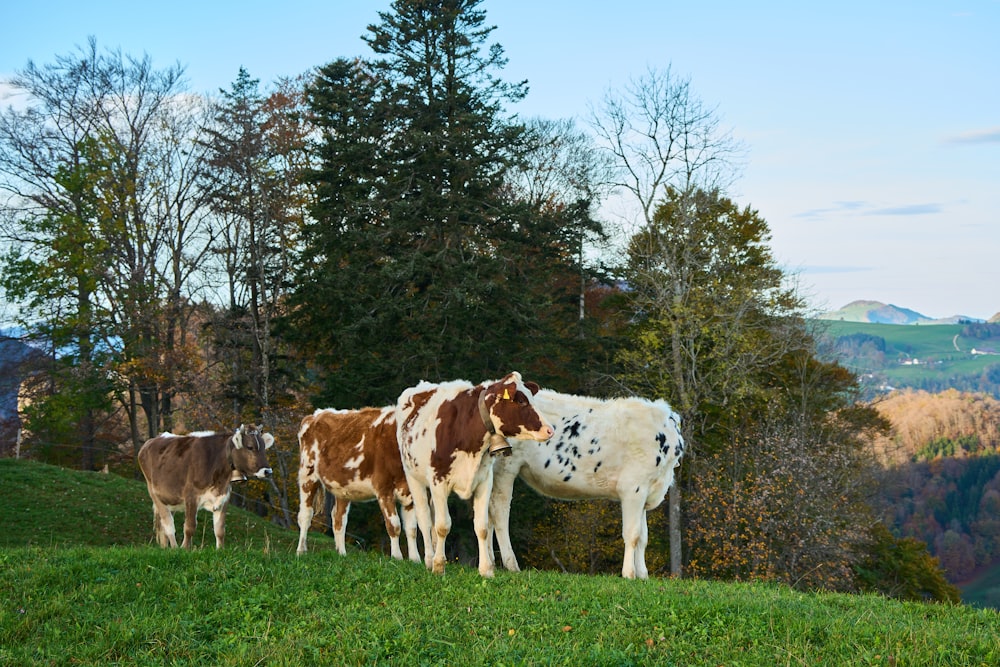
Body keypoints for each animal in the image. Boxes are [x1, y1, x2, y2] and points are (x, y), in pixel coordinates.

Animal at [138, 426, 274, 552]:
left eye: (264, 447)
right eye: (250, 447)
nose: (268, 471)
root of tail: (152, 440)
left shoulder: (224, 497)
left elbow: (220, 530)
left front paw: (220, 550)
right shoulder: (191, 496)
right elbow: (190, 527)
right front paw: (185, 549)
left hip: (170, 498)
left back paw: (165, 547)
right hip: (154, 493)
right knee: (168, 524)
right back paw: (175, 548)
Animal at [298, 404, 420, 560]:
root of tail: (315, 415)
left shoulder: (410, 493)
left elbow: (411, 529)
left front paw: (415, 560)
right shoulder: (383, 489)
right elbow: (394, 525)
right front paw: (397, 557)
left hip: (341, 486)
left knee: (338, 519)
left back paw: (341, 554)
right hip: (307, 474)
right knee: (305, 514)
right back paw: (301, 551)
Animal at [396, 374, 556, 576]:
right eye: (520, 401)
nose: (550, 430)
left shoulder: (484, 481)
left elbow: (482, 527)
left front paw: (486, 569)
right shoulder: (438, 480)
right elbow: (443, 525)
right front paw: (439, 566)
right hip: (413, 477)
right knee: (424, 519)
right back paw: (429, 559)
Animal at [488, 392, 684, 580]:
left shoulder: (646, 491)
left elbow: (643, 538)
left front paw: (643, 575)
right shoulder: (633, 487)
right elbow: (633, 534)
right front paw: (629, 574)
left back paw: (491, 562)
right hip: (505, 466)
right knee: (499, 512)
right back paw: (511, 564)